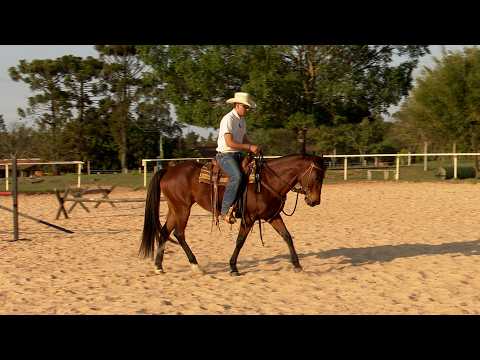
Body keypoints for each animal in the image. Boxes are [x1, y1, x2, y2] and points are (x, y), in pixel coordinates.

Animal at [139, 153, 326, 274]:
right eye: (317, 176)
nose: (314, 201)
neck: (266, 181)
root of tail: (168, 171)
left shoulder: (272, 216)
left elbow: (287, 236)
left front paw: (297, 265)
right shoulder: (249, 218)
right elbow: (240, 241)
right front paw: (233, 267)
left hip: (174, 209)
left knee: (165, 232)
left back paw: (158, 266)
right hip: (183, 209)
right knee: (179, 233)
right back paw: (195, 265)